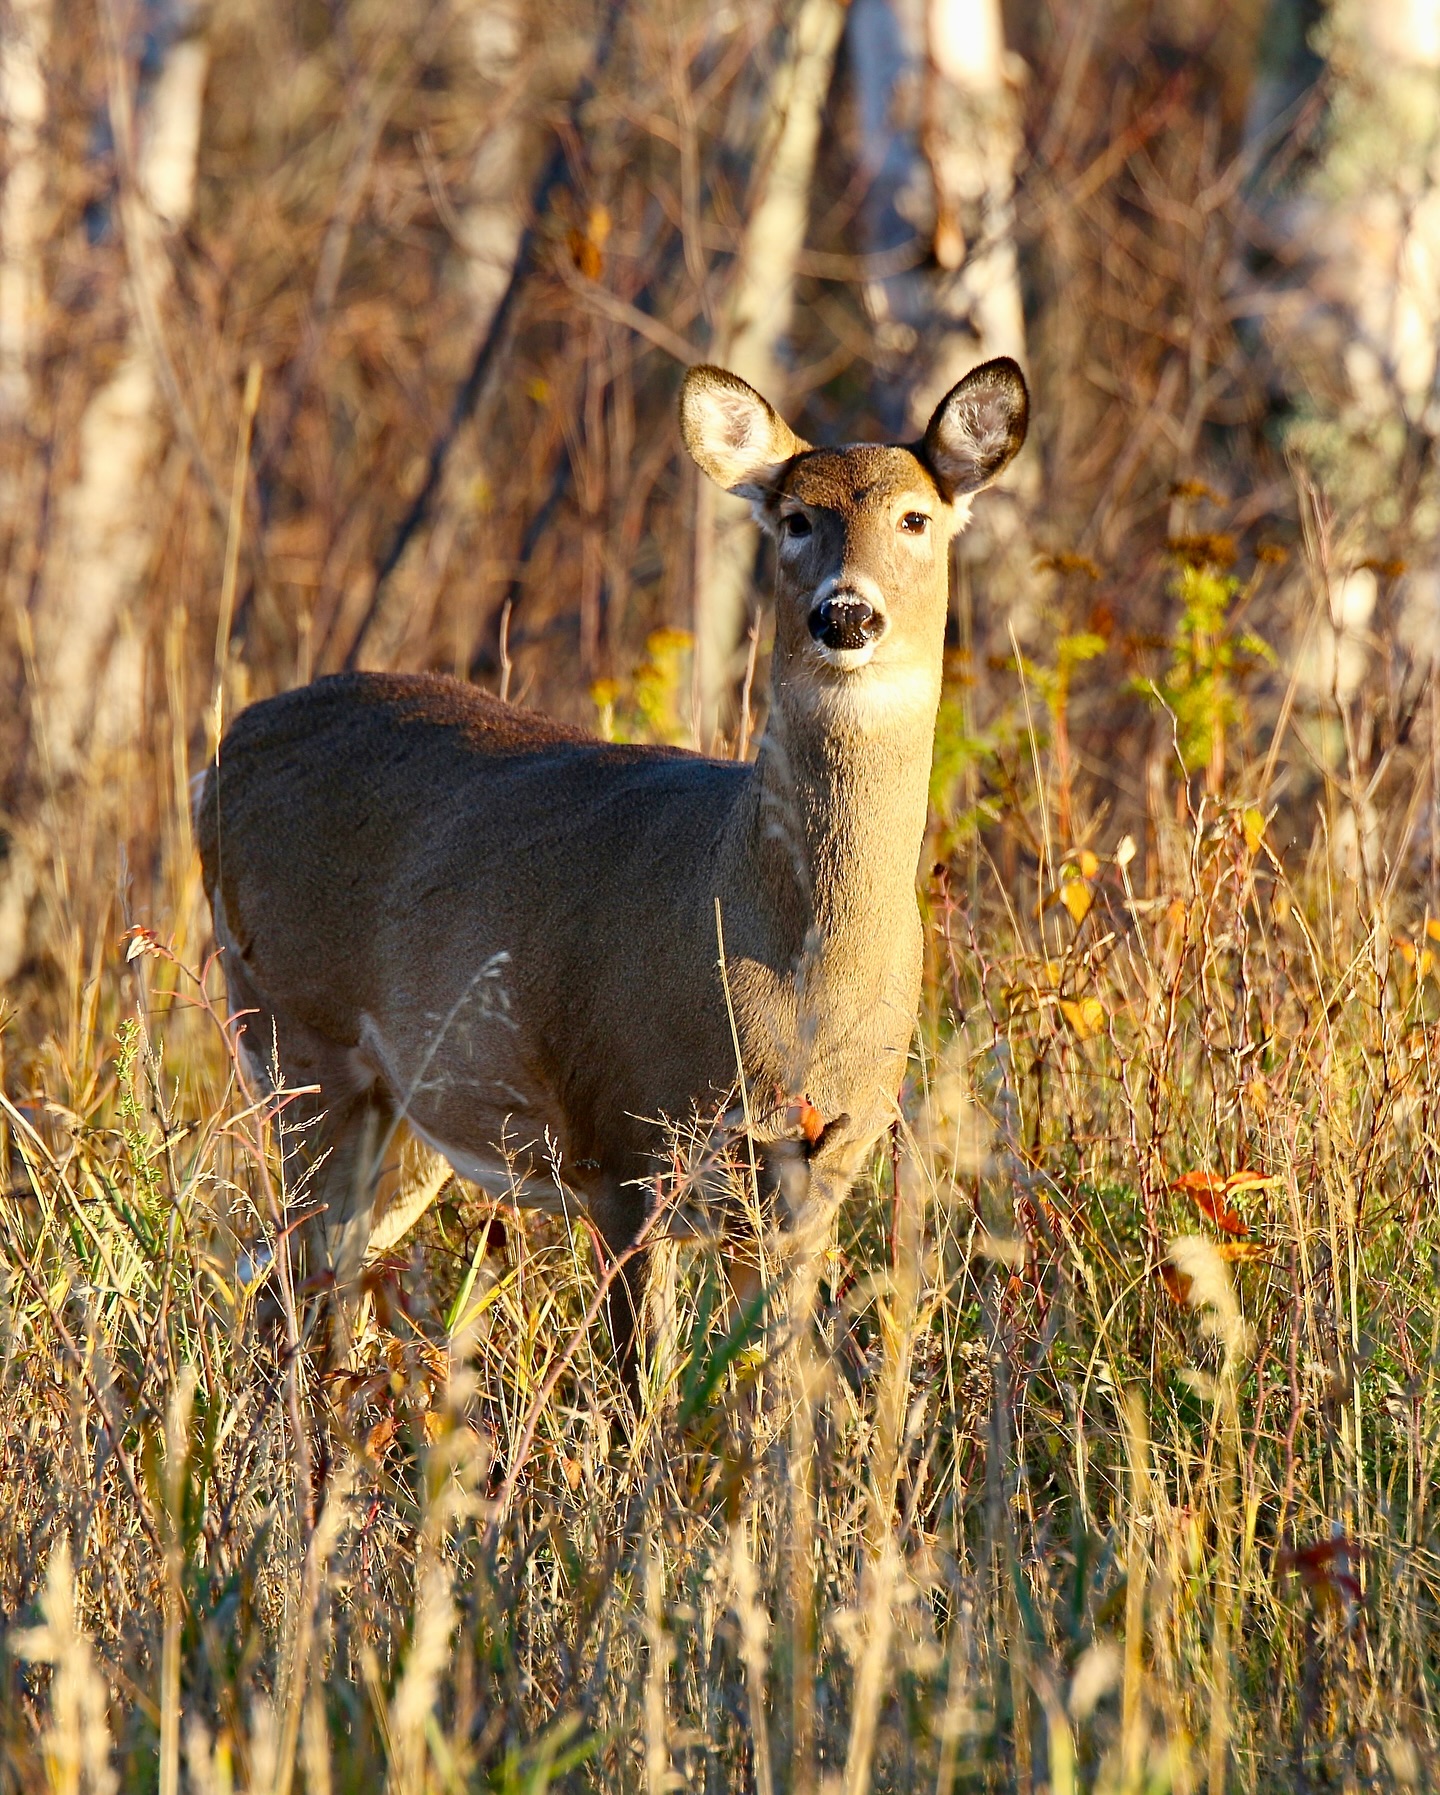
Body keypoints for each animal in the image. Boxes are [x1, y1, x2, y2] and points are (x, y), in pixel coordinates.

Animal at [196, 356, 1028, 1386]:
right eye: (797, 517)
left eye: (915, 516)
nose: (846, 612)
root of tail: (219, 756)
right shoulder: (623, 1142)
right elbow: (651, 1390)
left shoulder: (818, 1177)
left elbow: (783, 1391)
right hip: (295, 1037)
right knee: (293, 1280)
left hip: (412, 1108)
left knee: (299, 1279)